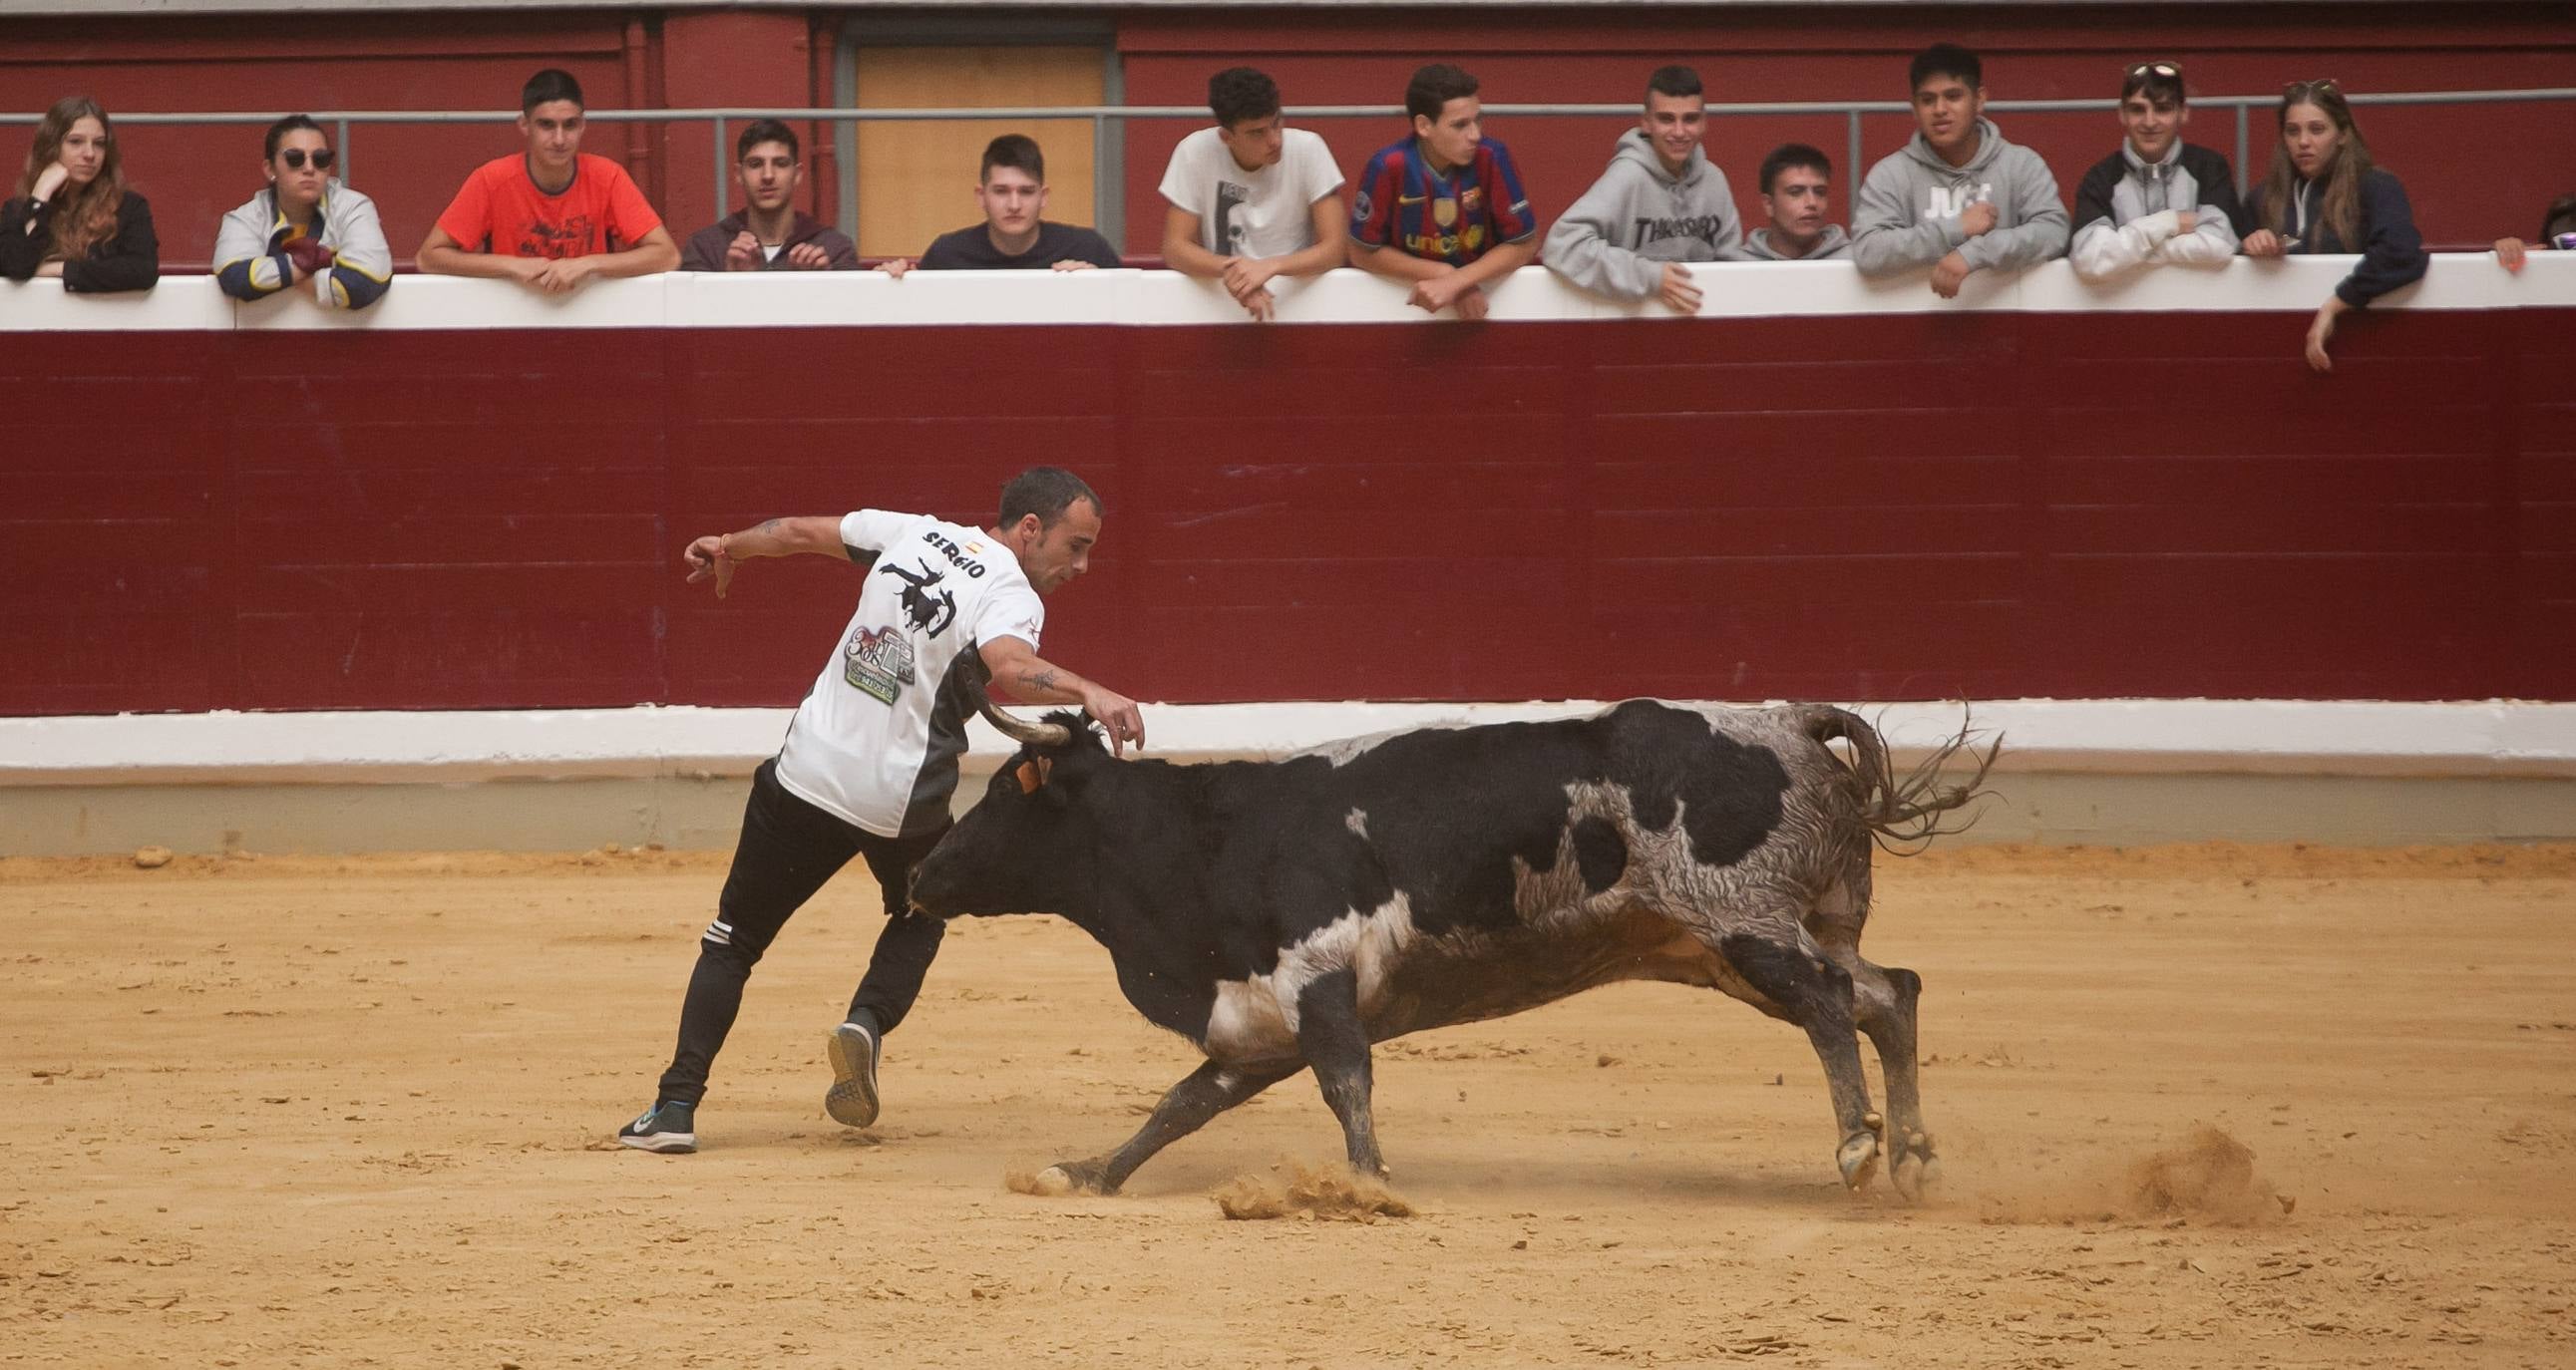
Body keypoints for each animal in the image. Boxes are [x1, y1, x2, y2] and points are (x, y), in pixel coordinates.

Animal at [917, 695, 1999, 1199]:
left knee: (1829, 1006)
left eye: (1004, 792)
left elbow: (1346, 1084)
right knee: (1887, 993)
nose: (923, 873)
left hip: (1742, 922)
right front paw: (1085, 1173)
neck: (1203, 838)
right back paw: (1913, 1158)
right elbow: (1177, 1109)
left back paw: (1859, 1146)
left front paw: (1364, 1187)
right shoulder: (1254, 1027)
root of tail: (1789, 722)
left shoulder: (1317, 987)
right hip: (1752, 942)